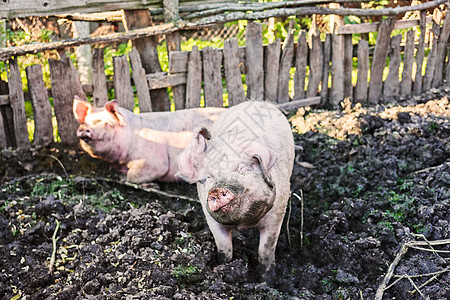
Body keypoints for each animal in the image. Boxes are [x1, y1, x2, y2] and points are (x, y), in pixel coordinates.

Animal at [72, 97, 225, 184]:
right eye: (86, 121)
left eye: (108, 124)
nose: (85, 128)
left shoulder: (155, 162)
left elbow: (133, 175)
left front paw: (152, 185)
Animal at [176, 99, 296, 278]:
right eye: (208, 177)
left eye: (240, 168)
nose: (216, 190)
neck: (243, 222)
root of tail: (256, 102)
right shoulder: (210, 217)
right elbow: (224, 247)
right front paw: (223, 267)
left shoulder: (277, 212)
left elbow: (266, 249)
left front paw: (267, 278)